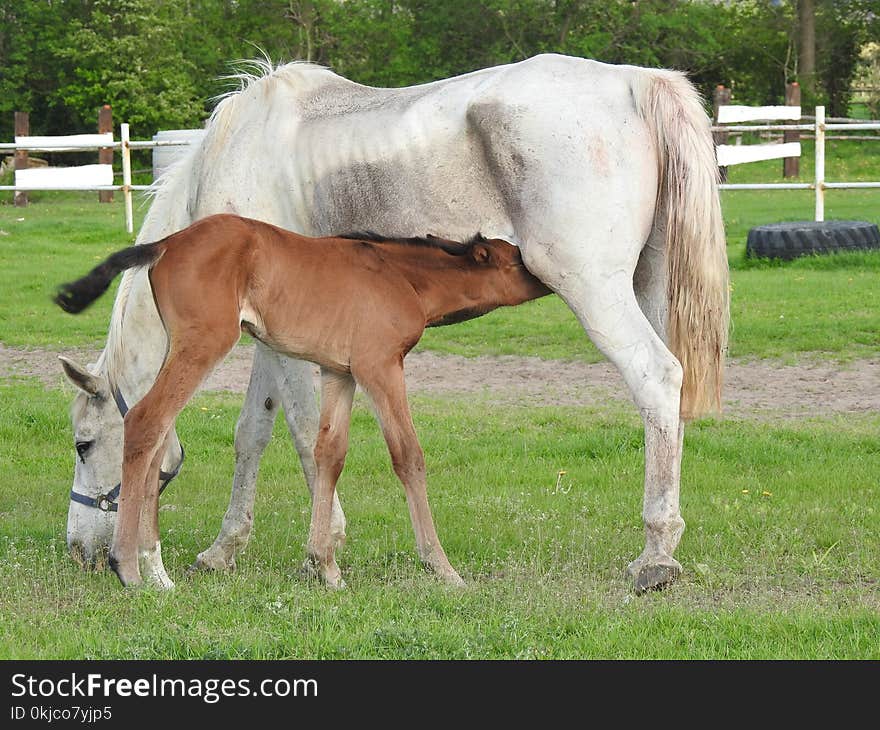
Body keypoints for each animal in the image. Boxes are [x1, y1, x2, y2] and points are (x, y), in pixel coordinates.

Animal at [55, 213, 552, 588]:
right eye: (516, 261)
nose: (545, 277)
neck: (402, 277)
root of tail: (165, 244)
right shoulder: (380, 367)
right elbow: (408, 456)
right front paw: (442, 567)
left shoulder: (340, 372)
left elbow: (328, 454)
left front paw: (325, 566)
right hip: (204, 344)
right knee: (146, 420)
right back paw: (129, 568)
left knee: (158, 439)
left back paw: (156, 572)